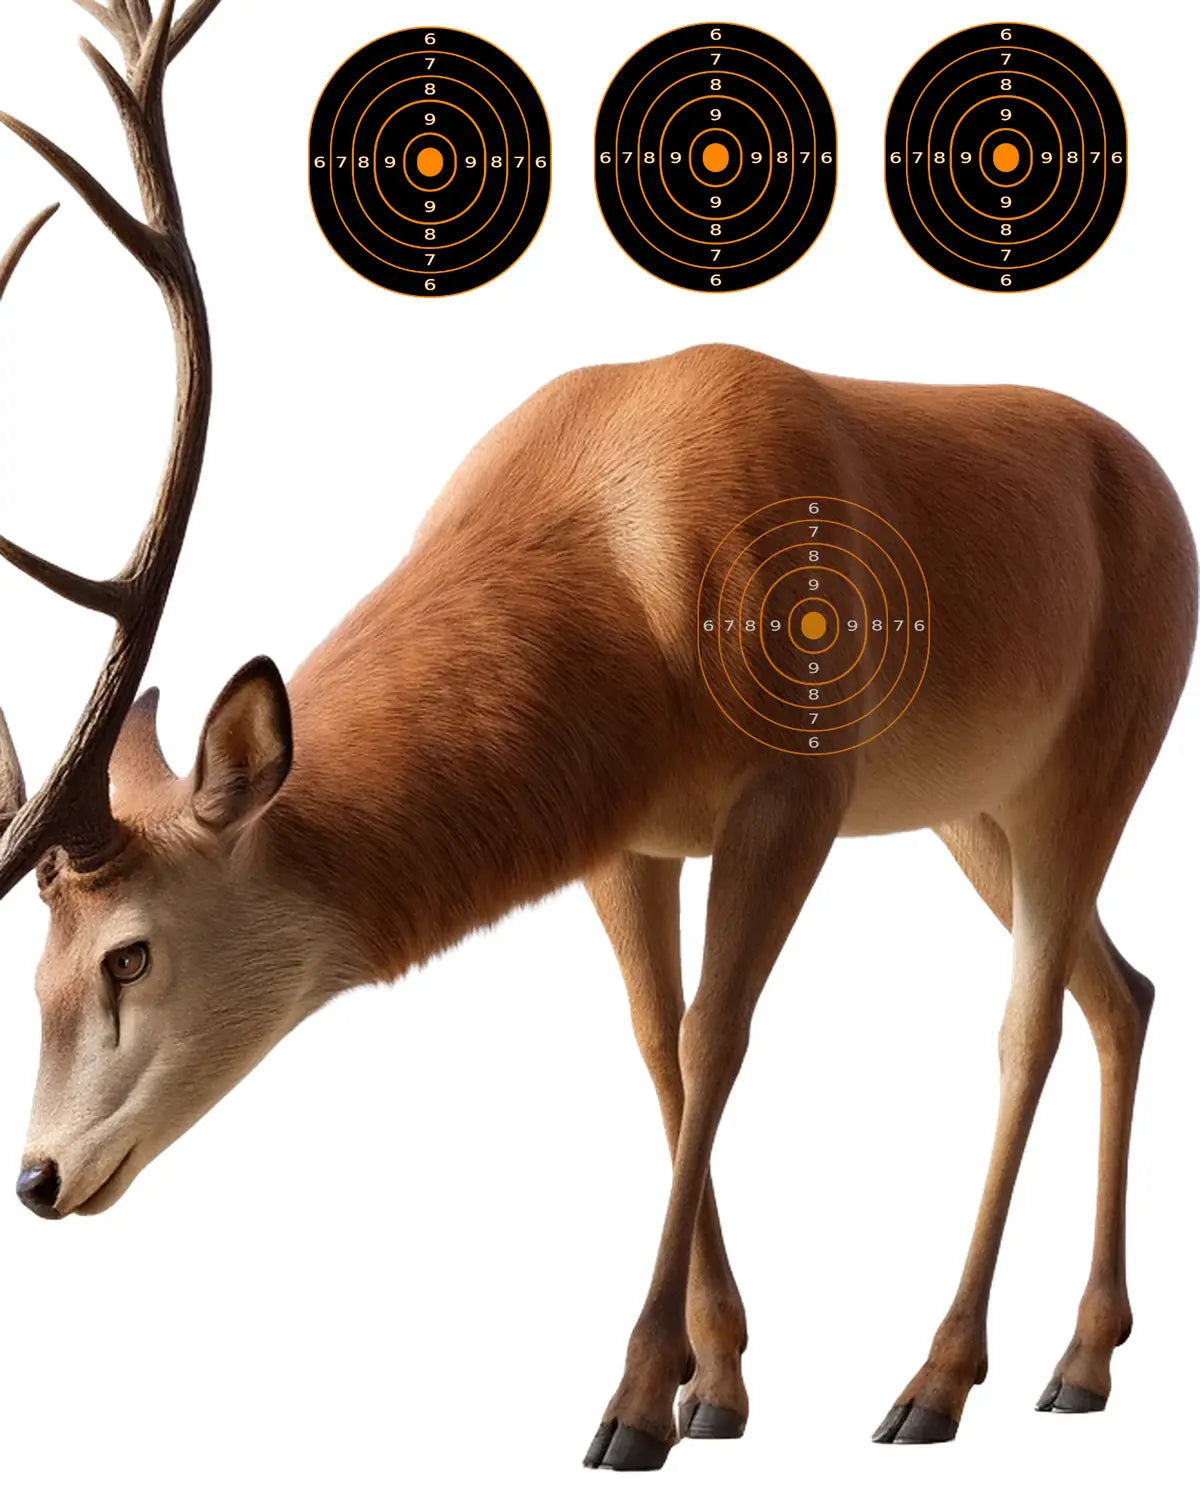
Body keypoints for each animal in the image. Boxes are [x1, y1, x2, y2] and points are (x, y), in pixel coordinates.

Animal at [0, 1, 1195, 1474]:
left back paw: (943, 1377)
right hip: (975, 804)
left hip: (1111, 737)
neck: (620, 609)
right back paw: (1085, 1354)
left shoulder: (797, 783)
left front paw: (633, 1400)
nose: (37, 1176)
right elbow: (655, 1041)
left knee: (1028, 1019)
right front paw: (717, 1382)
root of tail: (1165, 489)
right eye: (34, 968)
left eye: (128, 952)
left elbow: (717, 1037)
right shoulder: (628, 836)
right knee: (1120, 987)